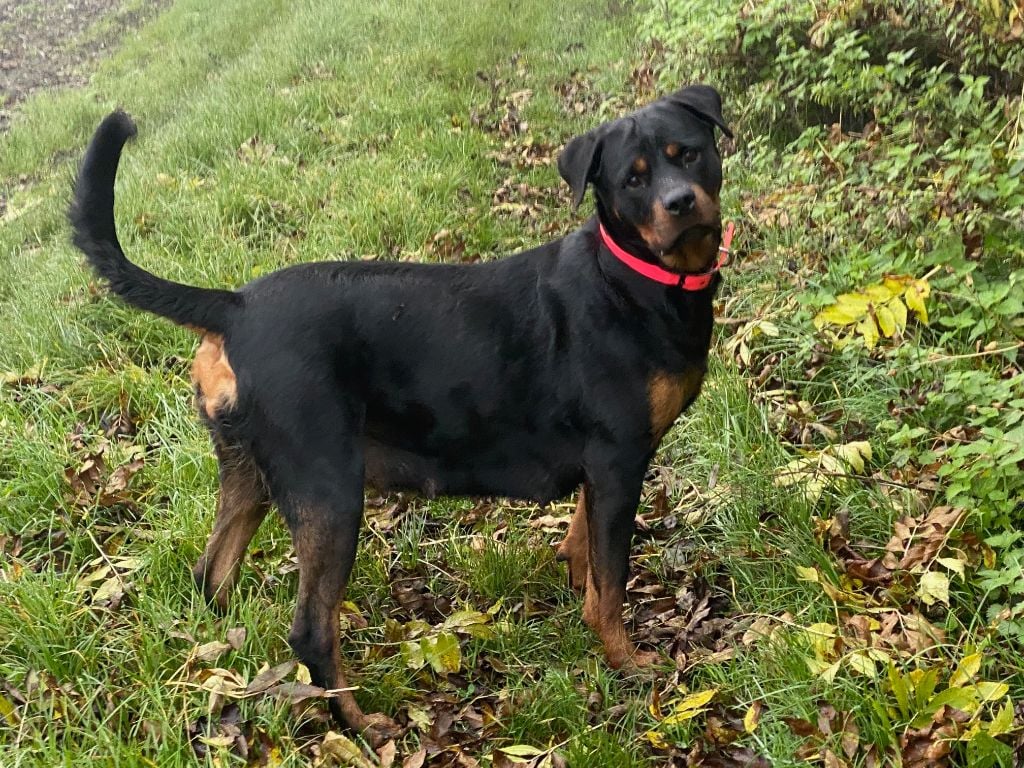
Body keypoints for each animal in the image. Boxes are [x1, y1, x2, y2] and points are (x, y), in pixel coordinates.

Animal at [70, 83, 729, 745]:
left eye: (690, 154)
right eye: (633, 180)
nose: (680, 201)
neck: (629, 277)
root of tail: (232, 307)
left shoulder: (601, 472)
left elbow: (584, 551)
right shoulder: (620, 462)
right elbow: (611, 584)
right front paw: (628, 663)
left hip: (248, 474)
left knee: (212, 577)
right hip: (330, 492)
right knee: (312, 630)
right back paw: (360, 724)